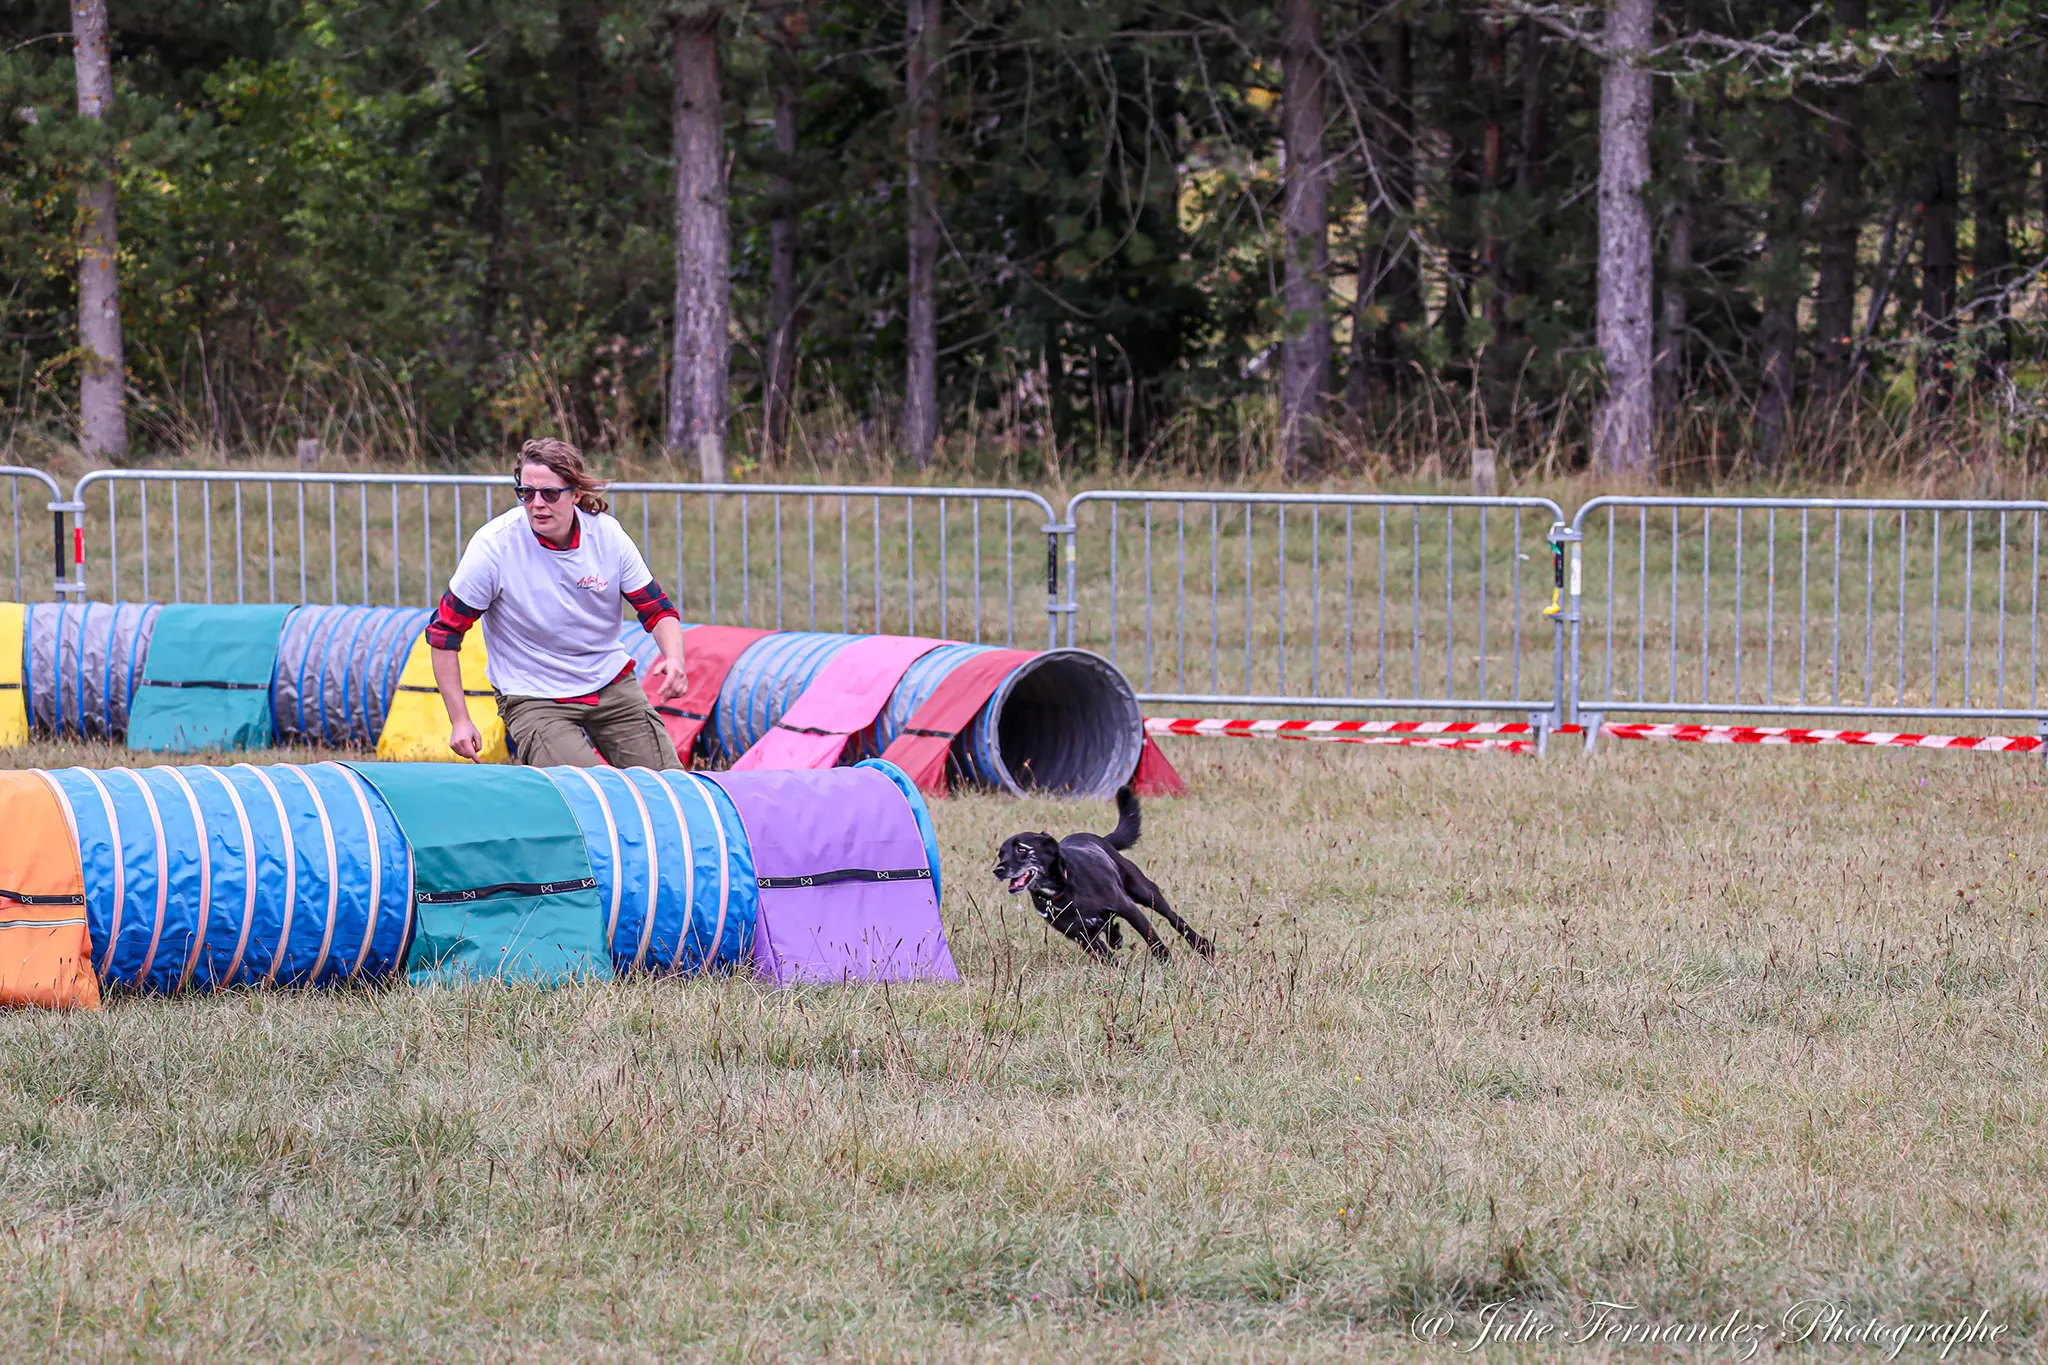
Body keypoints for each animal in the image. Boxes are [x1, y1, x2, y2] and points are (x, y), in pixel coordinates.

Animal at [987, 785, 1204, 965]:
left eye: (1021, 849)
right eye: (1001, 854)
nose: (998, 871)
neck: (1063, 890)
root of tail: (1102, 839)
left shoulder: (1129, 909)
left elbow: (1152, 938)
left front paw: (1166, 962)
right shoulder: (1080, 935)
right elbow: (1105, 955)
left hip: (1145, 891)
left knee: (1174, 919)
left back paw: (1203, 946)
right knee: (1108, 926)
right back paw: (1116, 936)